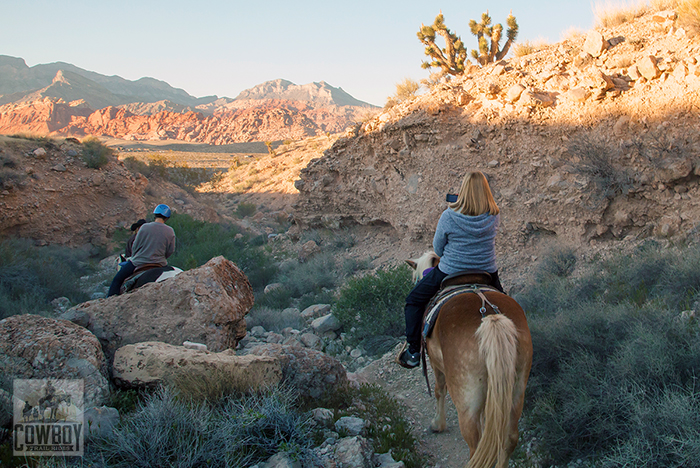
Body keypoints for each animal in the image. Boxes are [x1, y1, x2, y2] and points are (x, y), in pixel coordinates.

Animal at [404, 252, 532, 468]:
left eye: (414, 278)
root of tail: (489, 318)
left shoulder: (436, 365)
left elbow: (439, 390)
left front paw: (437, 425)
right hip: (516, 390)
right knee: (508, 439)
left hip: (466, 398)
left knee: (476, 444)